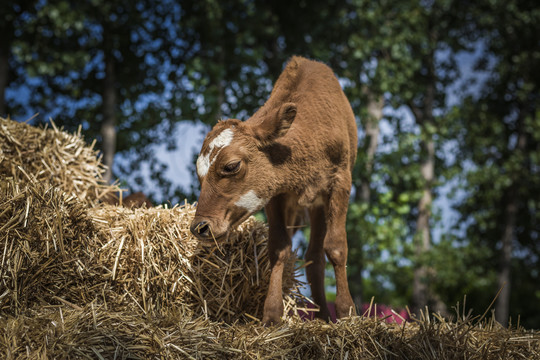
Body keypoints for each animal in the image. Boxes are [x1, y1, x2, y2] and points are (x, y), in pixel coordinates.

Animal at [190, 56, 358, 326]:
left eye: (231, 166)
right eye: (200, 173)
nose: (200, 228)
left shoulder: (340, 183)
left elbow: (335, 246)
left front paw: (346, 311)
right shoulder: (275, 195)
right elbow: (279, 249)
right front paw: (271, 315)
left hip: (318, 204)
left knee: (315, 256)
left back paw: (324, 315)